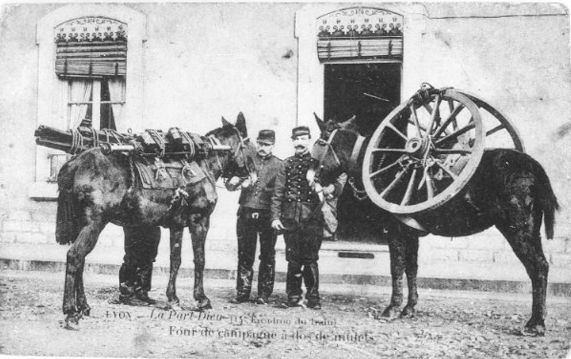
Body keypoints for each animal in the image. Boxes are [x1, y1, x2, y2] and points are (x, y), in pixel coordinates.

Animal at [57, 115, 251, 326]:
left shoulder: (176, 224)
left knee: (82, 261)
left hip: (81, 224)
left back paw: (84, 307)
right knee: (75, 256)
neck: (204, 163)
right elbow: (199, 259)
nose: (251, 175)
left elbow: (175, 259)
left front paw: (173, 299)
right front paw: (201, 299)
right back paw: (70, 312)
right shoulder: (199, 220)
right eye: (248, 145)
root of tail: (74, 164)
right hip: (94, 224)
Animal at [312, 116, 560, 336]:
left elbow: (396, 268)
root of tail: (531, 164)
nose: (314, 179)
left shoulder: (395, 231)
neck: (379, 166)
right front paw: (409, 308)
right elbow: (411, 268)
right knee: (542, 266)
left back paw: (535, 324)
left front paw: (391, 309)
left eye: (321, 141)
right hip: (531, 228)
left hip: (518, 229)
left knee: (538, 268)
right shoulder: (410, 232)